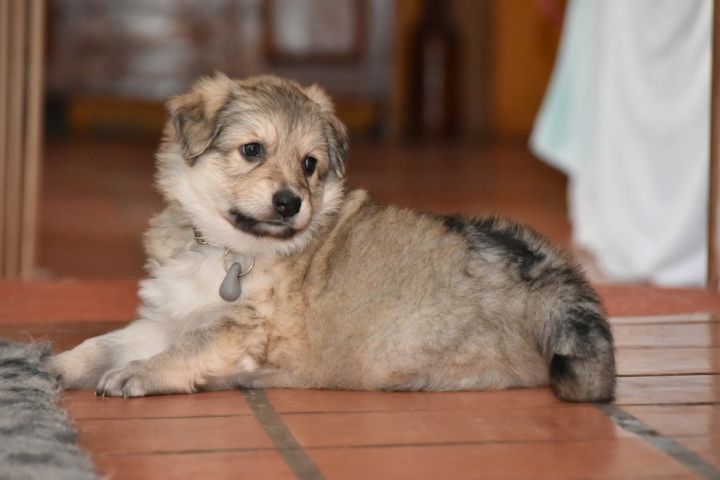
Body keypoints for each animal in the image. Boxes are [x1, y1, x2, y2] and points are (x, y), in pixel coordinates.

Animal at [48, 74, 615, 401]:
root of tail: (559, 281)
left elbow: (189, 348)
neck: (228, 249)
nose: (289, 203)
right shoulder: (166, 317)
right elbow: (105, 343)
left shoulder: (241, 327)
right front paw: (59, 365)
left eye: (309, 165)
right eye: (252, 150)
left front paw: (143, 373)